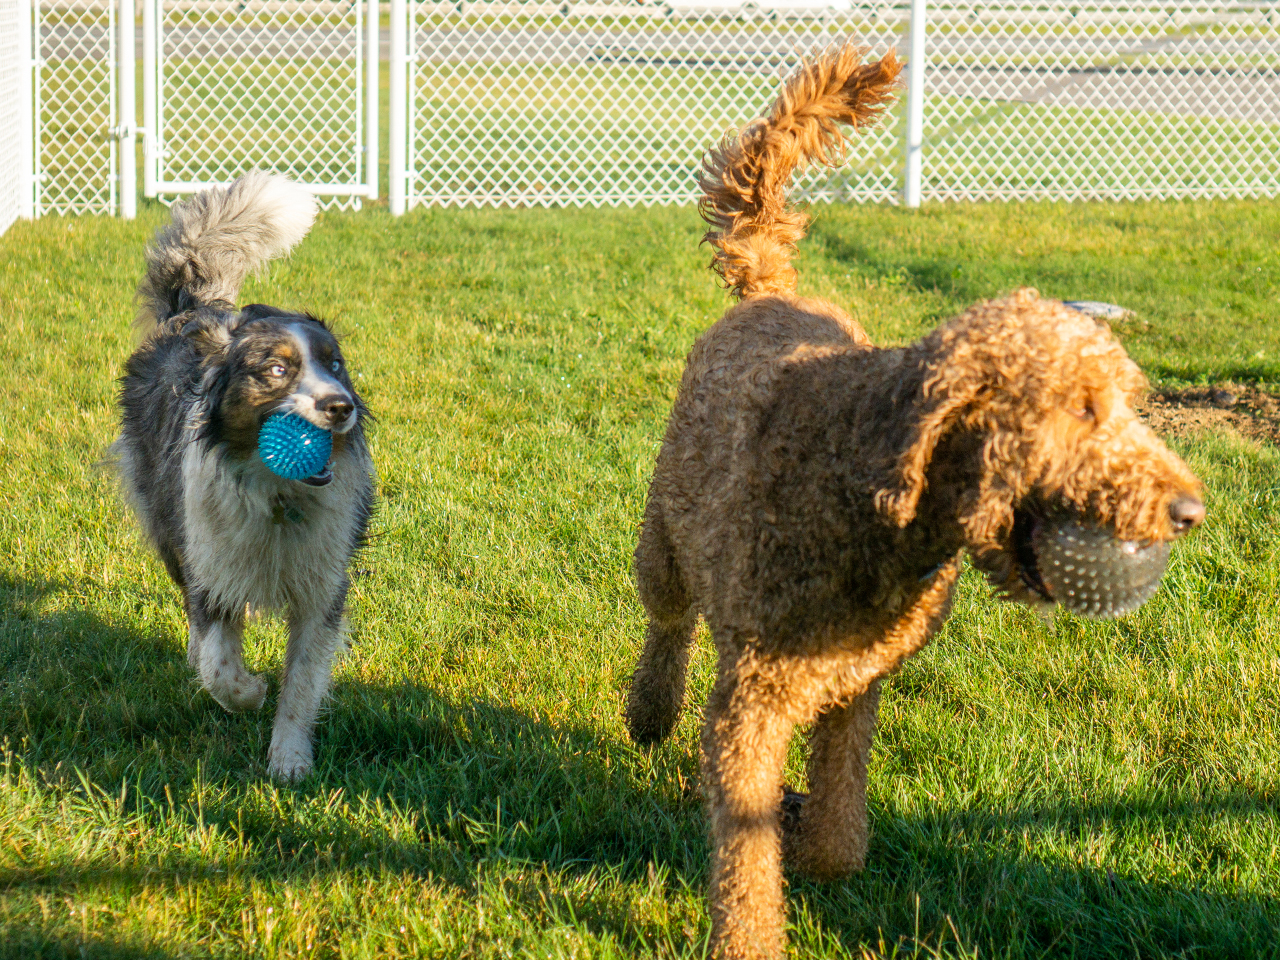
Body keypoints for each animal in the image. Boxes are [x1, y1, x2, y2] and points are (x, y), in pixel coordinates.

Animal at [624, 41, 1203, 957]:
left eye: (1127, 401)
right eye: (1082, 409)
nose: (1189, 512)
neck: (864, 493)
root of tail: (771, 288)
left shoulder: (853, 685)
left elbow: (836, 832)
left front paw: (811, 840)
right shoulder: (752, 701)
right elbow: (745, 859)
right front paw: (749, 934)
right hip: (664, 533)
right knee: (669, 619)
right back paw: (650, 709)